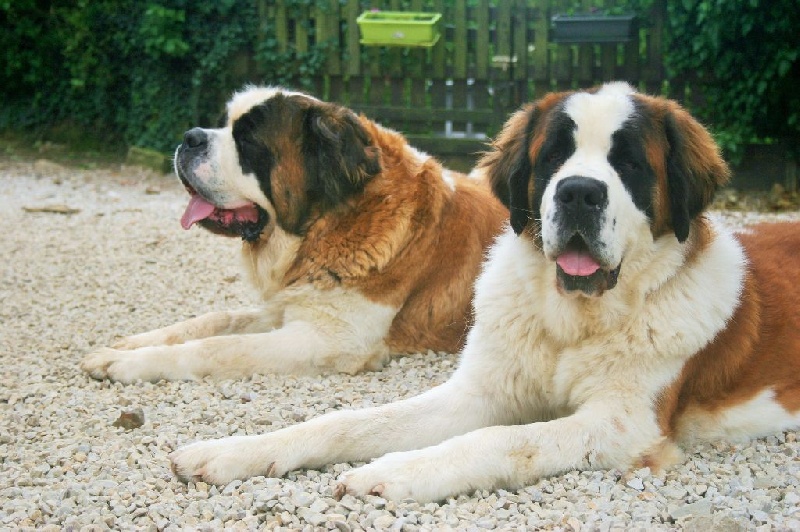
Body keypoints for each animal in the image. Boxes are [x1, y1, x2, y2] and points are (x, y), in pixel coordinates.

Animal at [81, 86, 506, 382]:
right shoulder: (286, 305)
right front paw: (127, 345)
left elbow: (221, 346)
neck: (327, 224)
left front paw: (127, 362)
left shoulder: (331, 338)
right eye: (224, 123)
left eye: (247, 141)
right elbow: (215, 321)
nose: (190, 137)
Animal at [167, 83, 800, 502]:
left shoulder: (624, 426)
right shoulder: (477, 392)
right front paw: (230, 451)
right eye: (553, 156)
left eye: (628, 163)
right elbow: (345, 421)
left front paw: (395, 472)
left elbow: (499, 441)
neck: (571, 319)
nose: (578, 192)